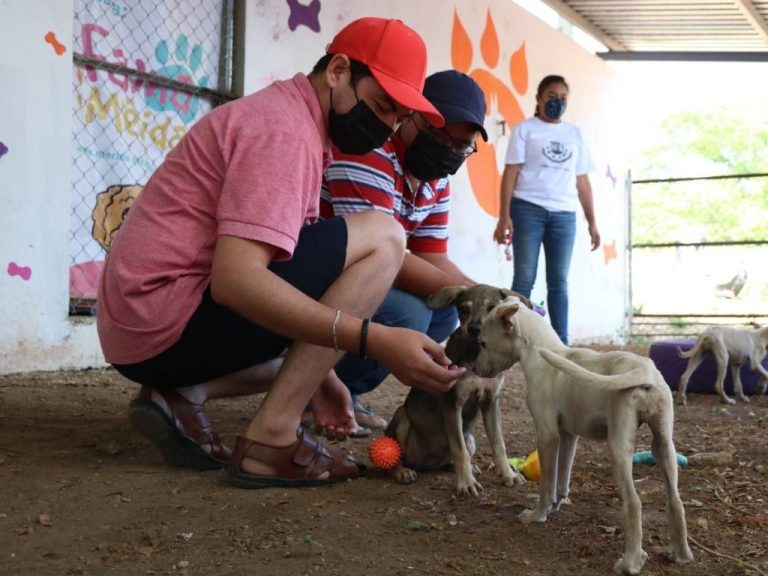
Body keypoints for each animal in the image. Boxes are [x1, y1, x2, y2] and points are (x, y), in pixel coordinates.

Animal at [388, 284, 532, 496]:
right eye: (463, 309)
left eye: (492, 308)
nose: (474, 329)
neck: (475, 354)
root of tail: (425, 464)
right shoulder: (452, 403)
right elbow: (459, 449)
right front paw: (466, 483)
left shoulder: (491, 402)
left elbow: (499, 444)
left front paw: (508, 474)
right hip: (402, 417)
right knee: (394, 454)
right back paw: (403, 471)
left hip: (470, 438)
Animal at [474, 296, 696, 576]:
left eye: (483, 342)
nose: (475, 369)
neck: (543, 353)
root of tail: (644, 371)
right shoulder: (568, 436)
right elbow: (562, 478)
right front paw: (557, 505)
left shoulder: (547, 435)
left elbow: (547, 483)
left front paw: (537, 514)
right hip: (664, 444)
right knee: (676, 500)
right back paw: (681, 554)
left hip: (619, 447)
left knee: (634, 503)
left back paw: (630, 562)